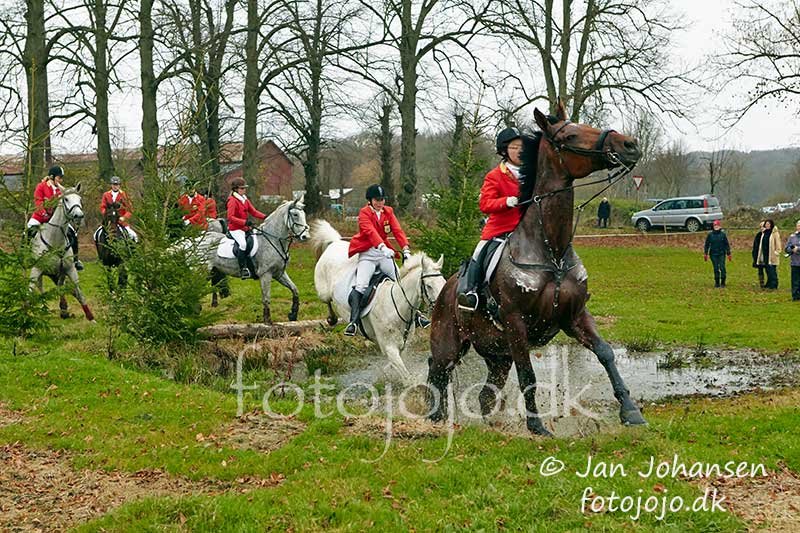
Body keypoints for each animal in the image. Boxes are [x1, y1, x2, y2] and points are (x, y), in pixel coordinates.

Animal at [29, 184, 95, 321]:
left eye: (80, 199)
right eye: (66, 199)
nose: (79, 216)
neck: (55, 240)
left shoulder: (69, 269)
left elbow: (78, 292)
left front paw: (90, 316)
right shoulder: (36, 269)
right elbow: (30, 291)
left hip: (59, 272)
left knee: (60, 286)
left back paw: (63, 309)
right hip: (41, 271)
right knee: (41, 287)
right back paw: (45, 308)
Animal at [311, 219, 446, 385]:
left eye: (444, 282)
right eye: (429, 286)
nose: (442, 306)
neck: (395, 307)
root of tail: (335, 243)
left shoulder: (404, 345)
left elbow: (398, 366)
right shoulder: (389, 347)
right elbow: (406, 377)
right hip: (323, 291)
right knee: (327, 301)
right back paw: (332, 319)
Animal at [427, 103, 647, 436]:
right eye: (570, 135)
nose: (629, 145)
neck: (551, 252)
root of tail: (444, 290)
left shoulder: (575, 315)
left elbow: (606, 353)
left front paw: (630, 410)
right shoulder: (516, 322)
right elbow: (528, 374)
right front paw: (536, 425)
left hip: (497, 354)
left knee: (485, 394)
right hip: (449, 343)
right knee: (438, 372)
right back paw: (435, 418)